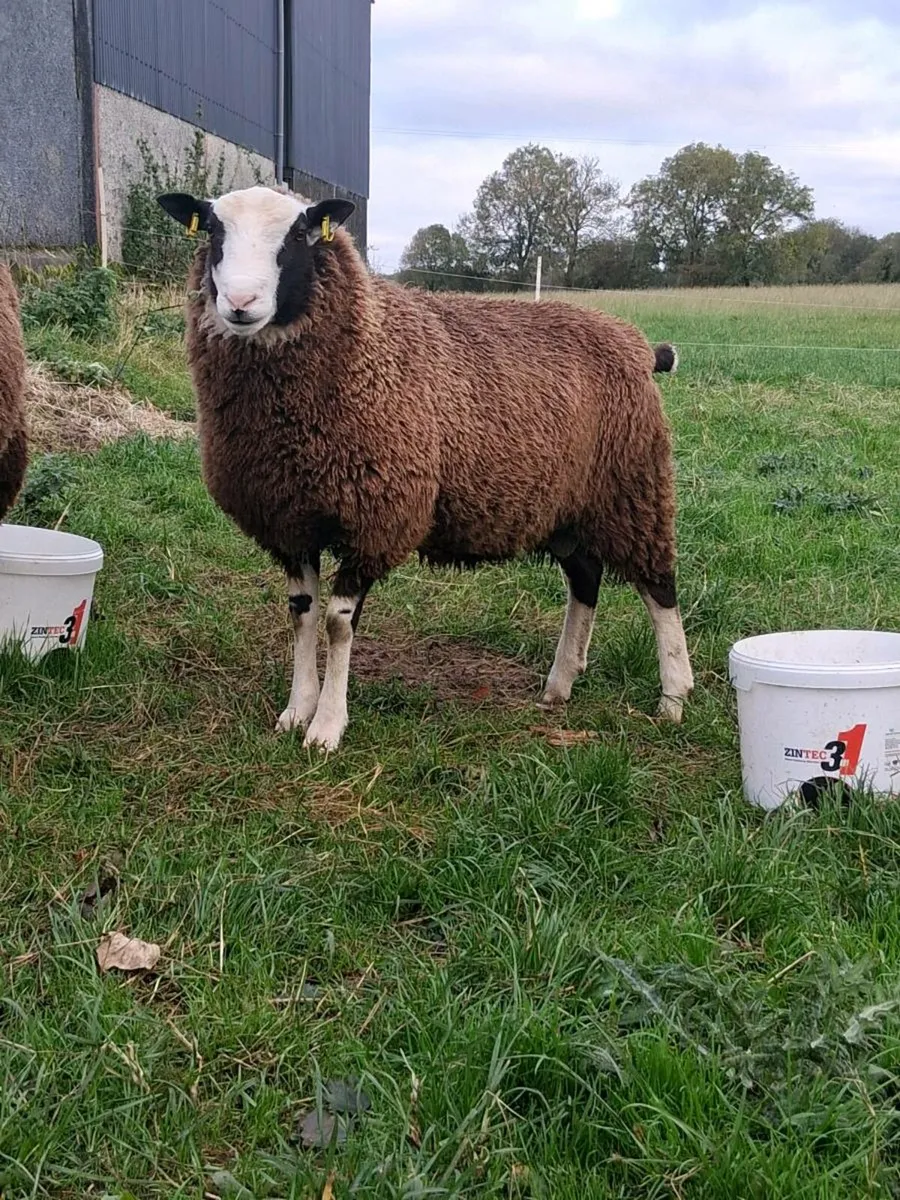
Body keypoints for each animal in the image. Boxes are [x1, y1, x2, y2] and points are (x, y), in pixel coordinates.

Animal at [157, 185, 693, 751]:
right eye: (213, 231)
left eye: (300, 235)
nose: (240, 304)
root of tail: (638, 345)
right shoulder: (289, 519)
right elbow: (301, 614)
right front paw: (296, 710)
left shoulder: (378, 515)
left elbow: (337, 624)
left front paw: (326, 728)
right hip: (567, 504)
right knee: (586, 578)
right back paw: (560, 683)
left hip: (633, 485)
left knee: (660, 586)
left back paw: (673, 697)